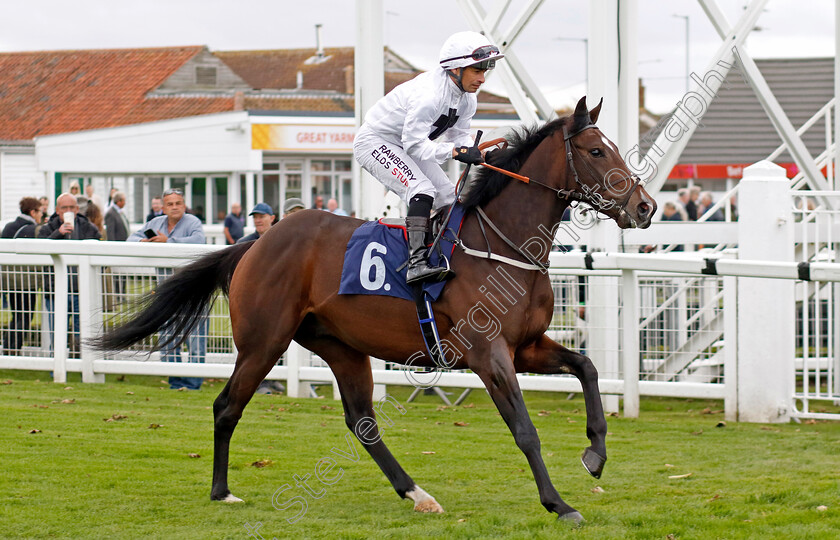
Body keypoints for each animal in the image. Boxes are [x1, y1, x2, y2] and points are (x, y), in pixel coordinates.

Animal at [92, 97, 656, 524]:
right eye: (596, 150)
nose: (646, 206)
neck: (502, 245)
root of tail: (255, 242)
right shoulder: (488, 353)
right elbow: (525, 429)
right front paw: (559, 503)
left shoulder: (527, 346)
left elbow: (587, 367)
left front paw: (595, 454)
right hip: (264, 341)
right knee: (226, 406)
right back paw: (222, 490)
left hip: (340, 346)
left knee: (362, 422)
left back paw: (417, 493)